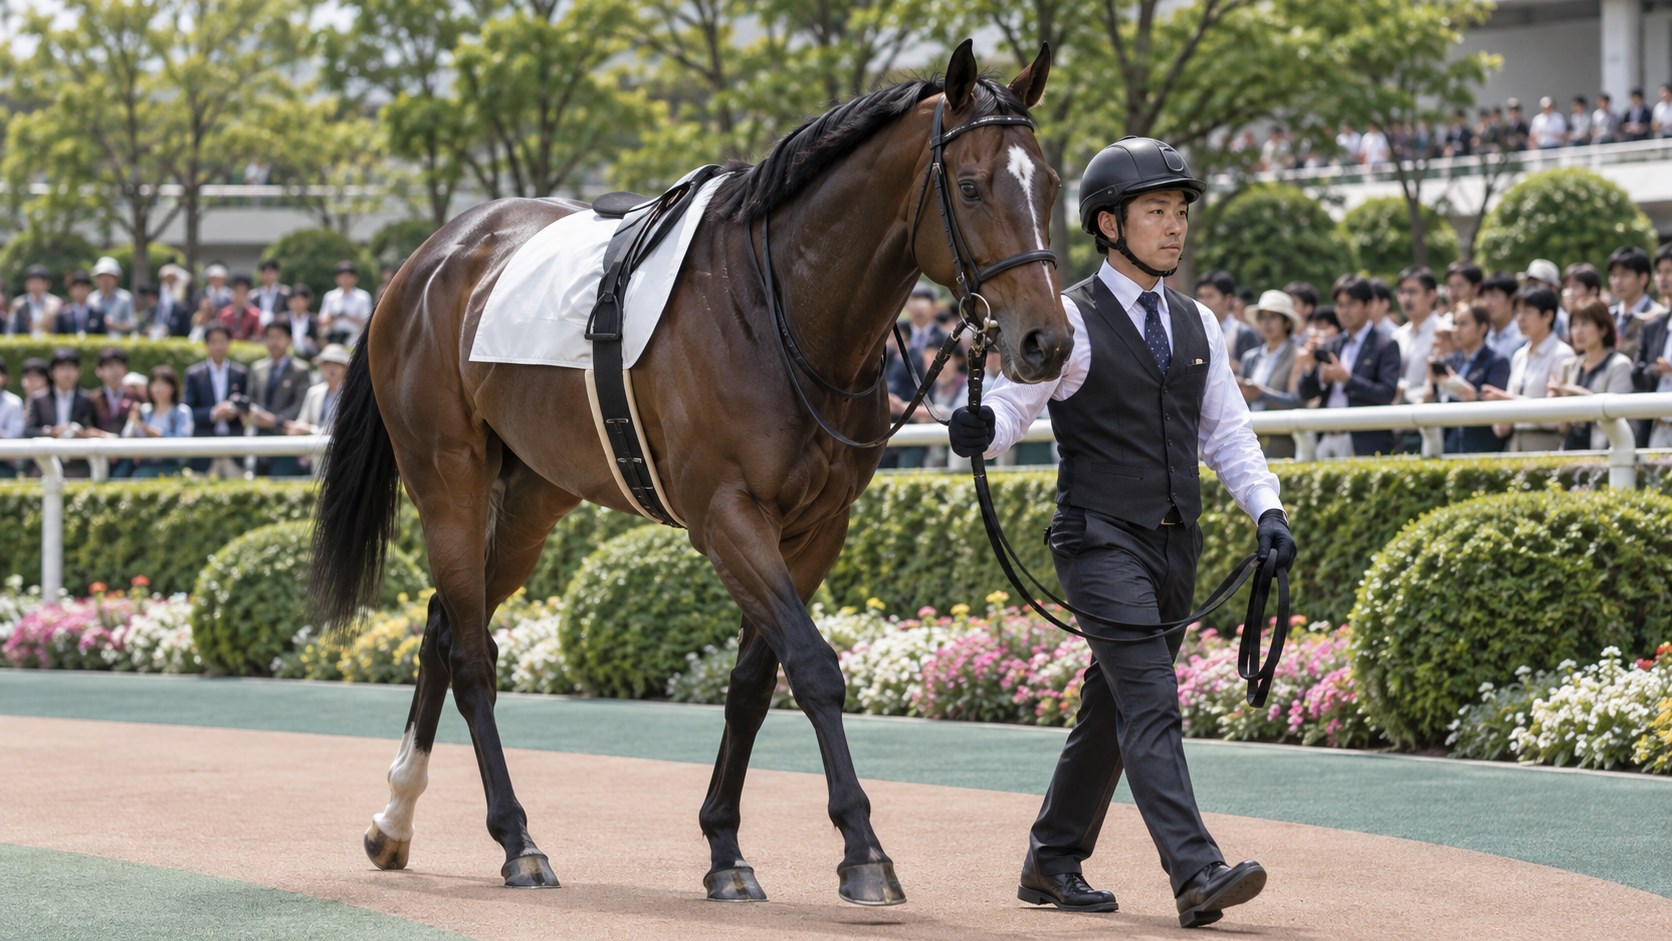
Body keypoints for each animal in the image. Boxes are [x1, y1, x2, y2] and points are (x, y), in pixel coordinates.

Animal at [308, 40, 1071, 906]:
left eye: (1049, 183)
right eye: (972, 185)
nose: (1046, 339)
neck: (777, 306)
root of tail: (424, 262)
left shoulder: (816, 527)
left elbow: (753, 681)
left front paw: (725, 846)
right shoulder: (726, 513)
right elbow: (813, 666)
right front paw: (863, 848)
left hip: (535, 496)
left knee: (444, 626)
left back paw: (393, 820)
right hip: (449, 481)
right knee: (471, 653)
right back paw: (516, 839)